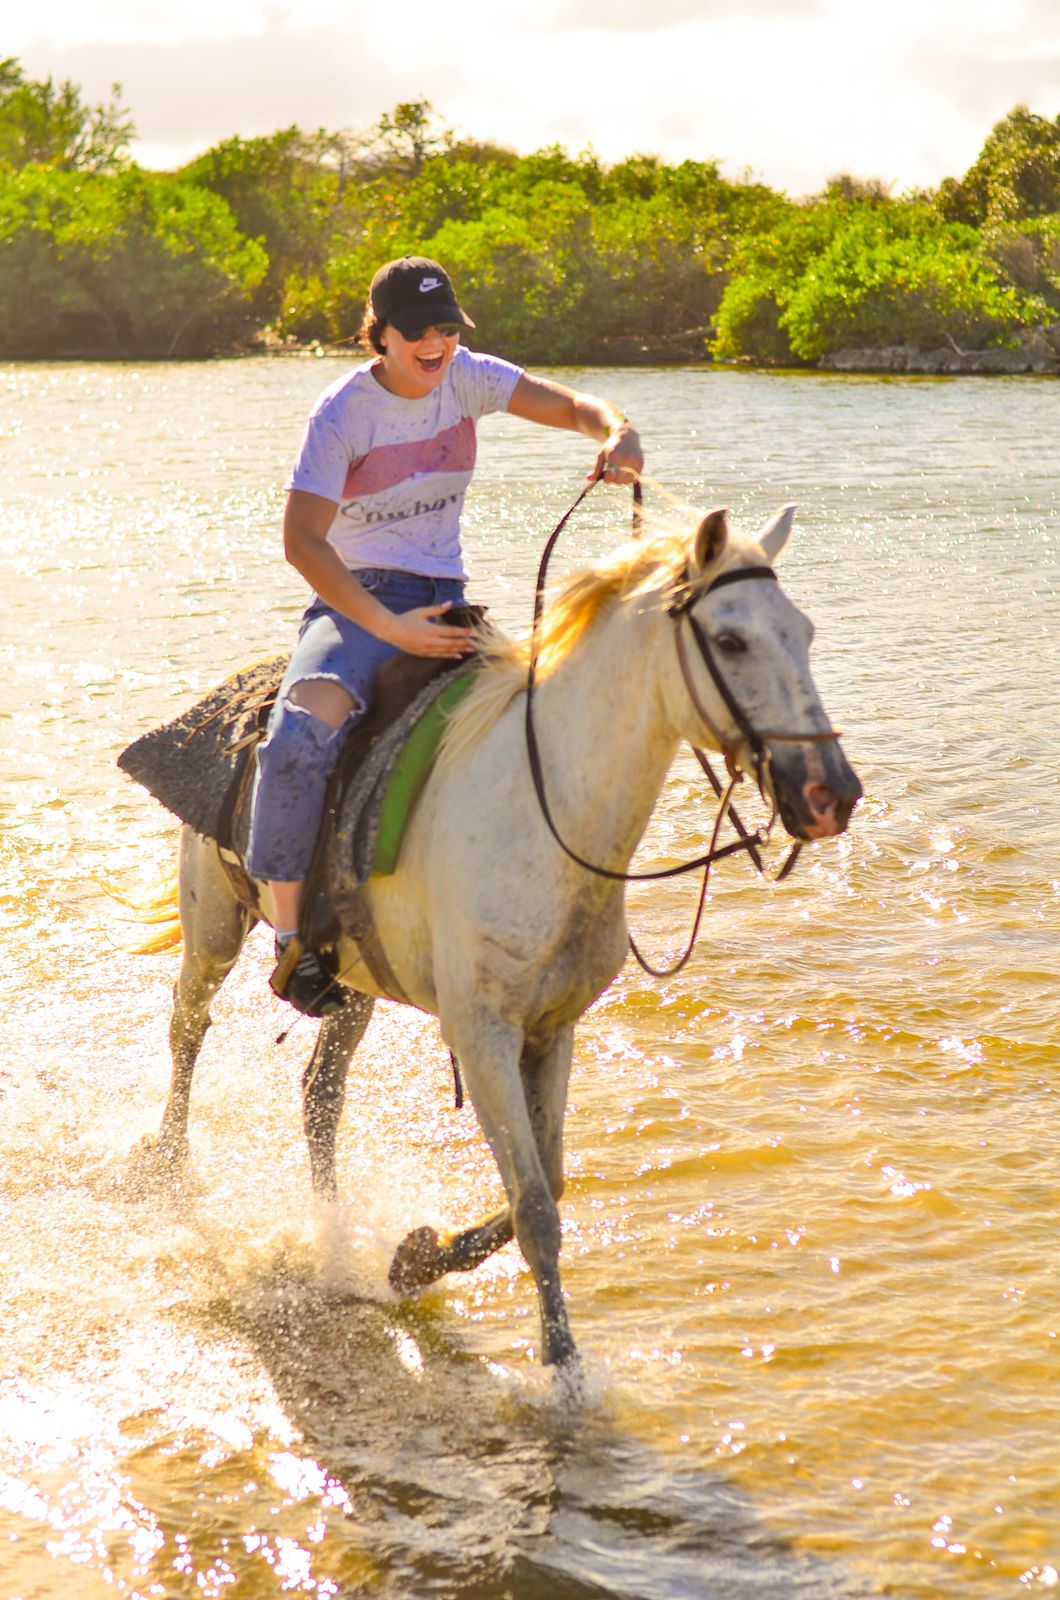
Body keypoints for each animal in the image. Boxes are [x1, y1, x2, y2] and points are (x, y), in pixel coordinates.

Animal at [134, 503, 861, 1369]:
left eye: (805, 631)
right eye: (730, 639)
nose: (832, 795)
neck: (544, 815)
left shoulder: (553, 1028)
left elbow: (544, 1185)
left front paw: (415, 1259)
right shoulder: (481, 1033)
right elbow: (536, 1205)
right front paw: (563, 1368)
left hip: (352, 980)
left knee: (319, 1095)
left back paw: (333, 1236)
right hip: (214, 923)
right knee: (188, 1026)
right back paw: (168, 1168)